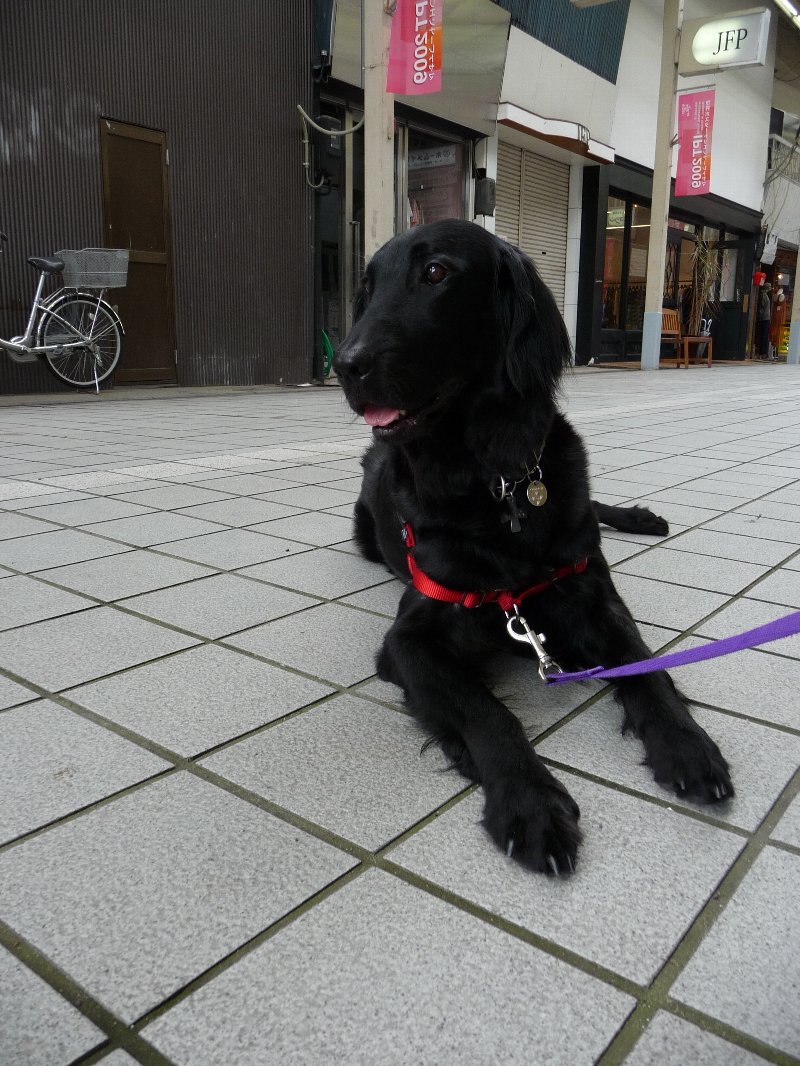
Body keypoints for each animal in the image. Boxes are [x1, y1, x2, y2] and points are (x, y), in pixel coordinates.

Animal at [332, 219, 732, 875]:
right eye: (366, 288)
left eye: (435, 273)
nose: (345, 365)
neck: (493, 483)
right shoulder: (409, 639)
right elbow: (484, 709)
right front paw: (528, 801)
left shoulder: (594, 596)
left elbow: (649, 671)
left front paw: (687, 746)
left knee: (595, 506)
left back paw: (640, 517)